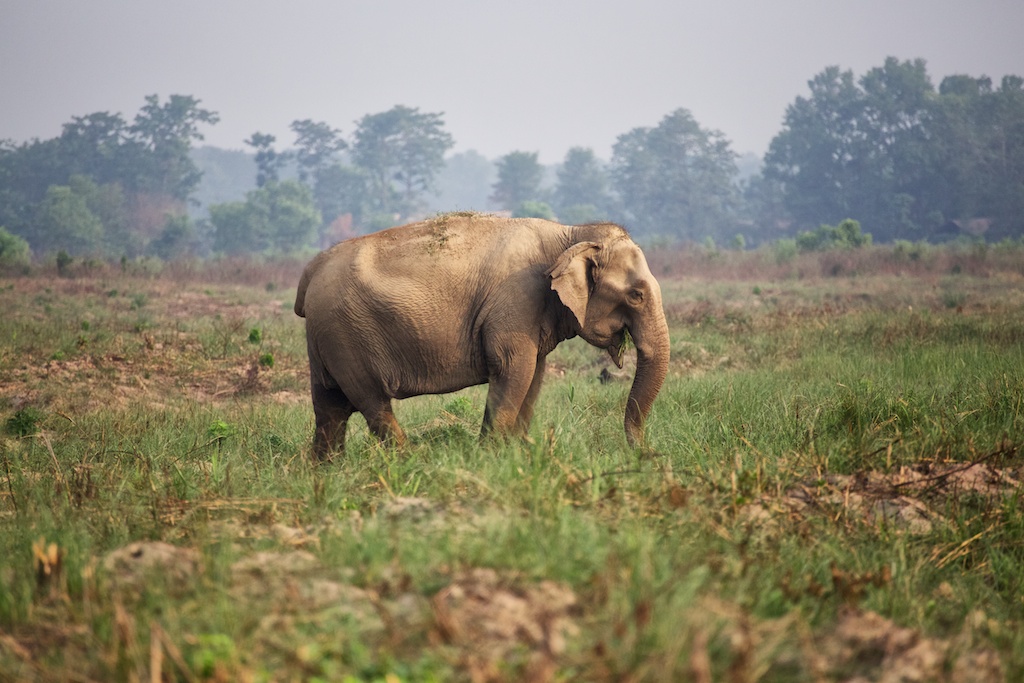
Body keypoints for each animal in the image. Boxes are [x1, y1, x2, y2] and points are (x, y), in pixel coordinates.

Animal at [294, 214, 671, 458]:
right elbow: (513, 370)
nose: (650, 452)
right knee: (372, 404)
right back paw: (411, 461)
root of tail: (310, 270)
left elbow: (534, 375)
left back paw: (329, 471)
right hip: (347, 336)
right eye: (636, 295)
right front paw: (492, 457)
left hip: (327, 340)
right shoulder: (516, 303)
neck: (570, 233)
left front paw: (521, 452)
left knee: (330, 408)